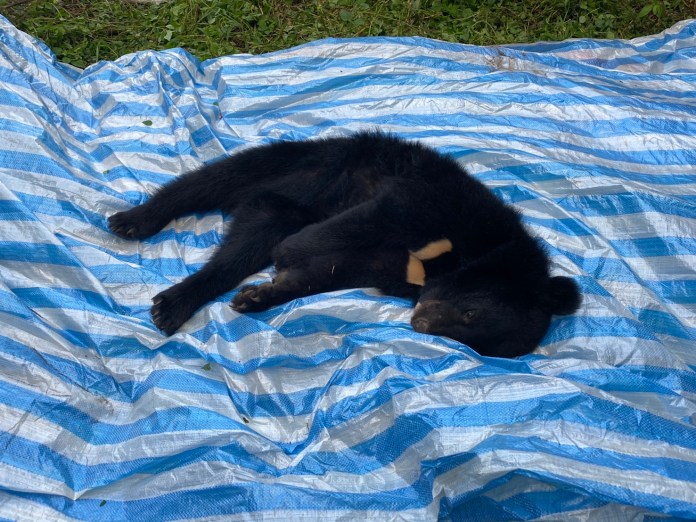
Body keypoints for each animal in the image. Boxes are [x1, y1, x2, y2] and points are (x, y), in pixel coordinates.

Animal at [108, 132, 581, 358]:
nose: (420, 324)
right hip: (315, 165)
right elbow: (361, 222)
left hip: (281, 199)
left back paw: (175, 304)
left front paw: (260, 295)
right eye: (470, 312)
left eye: (471, 342)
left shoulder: (388, 269)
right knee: (217, 180)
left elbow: (328, 273)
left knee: (242, 244)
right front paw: (288, 255)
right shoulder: (434, 202)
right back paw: (133, 221)